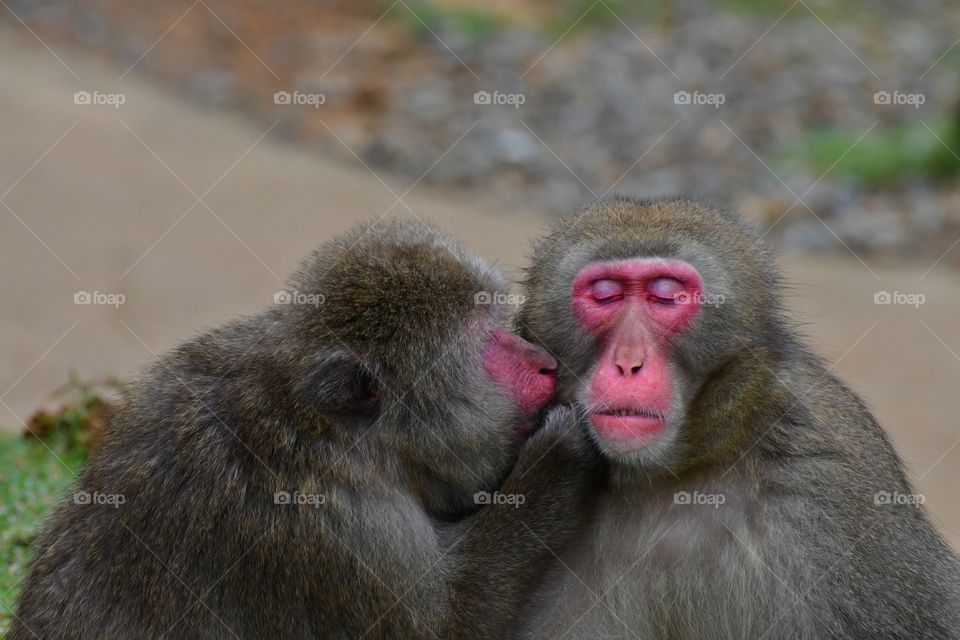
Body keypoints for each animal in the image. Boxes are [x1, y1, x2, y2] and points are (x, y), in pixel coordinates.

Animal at [9, 218, 600, 640]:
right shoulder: (340, 530)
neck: (325, 427)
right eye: (488, 345)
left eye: (500, 322)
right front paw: (554, 460)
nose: (544, 364)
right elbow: (445, 625)